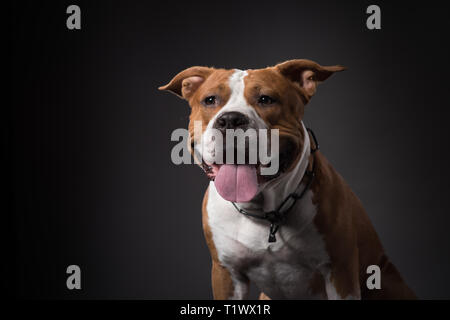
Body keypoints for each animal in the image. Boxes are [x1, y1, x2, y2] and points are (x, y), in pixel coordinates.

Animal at [160, 59, 416, 300]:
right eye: (210, 100)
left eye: (266, 99)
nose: (231, 120)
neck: (265, 214)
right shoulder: (226, 273)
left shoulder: (340, 271)